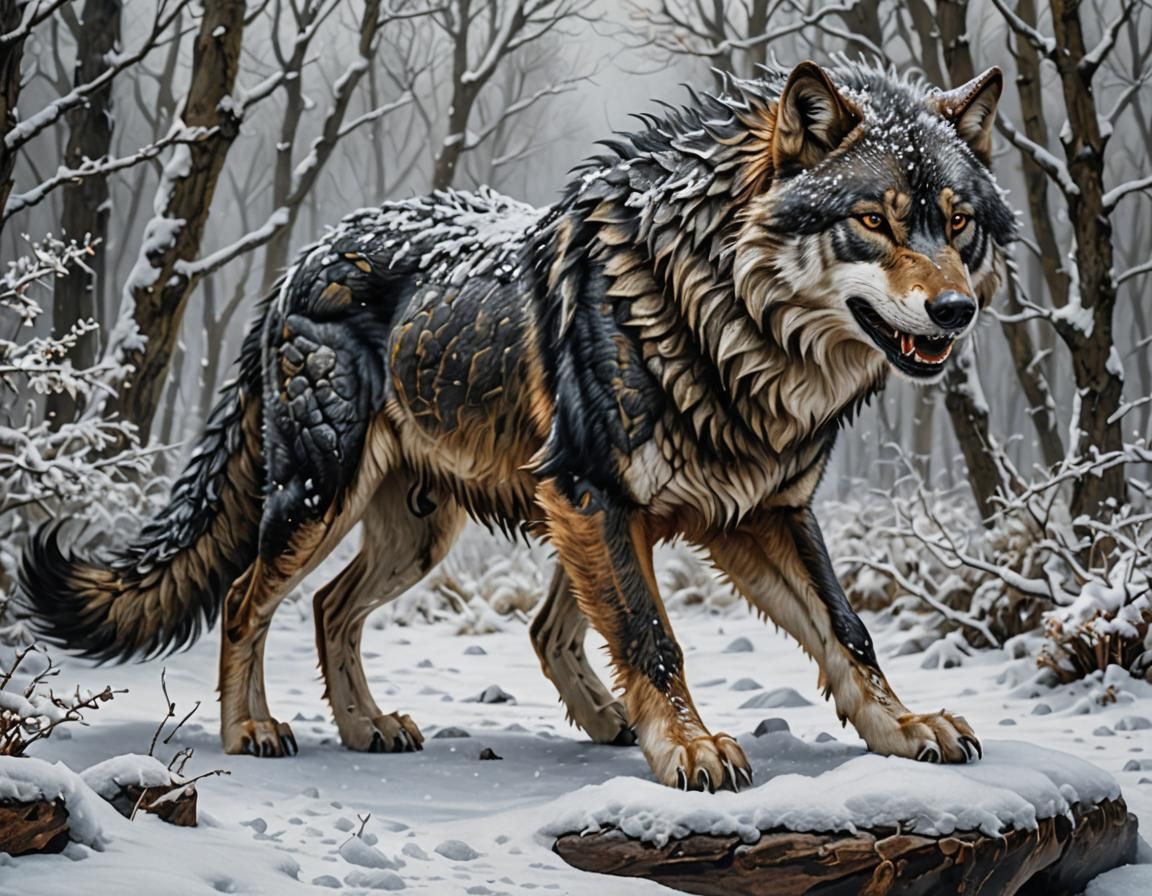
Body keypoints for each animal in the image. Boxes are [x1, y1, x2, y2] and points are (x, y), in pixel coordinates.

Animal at [22, 60, 1015, 791]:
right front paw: (689, 748)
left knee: (347, 608)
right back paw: (253, 728)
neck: (722, 321)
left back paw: (380, 726)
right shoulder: (595, 492)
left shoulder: (763, 512)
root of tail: (302, 258)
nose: (956, 312)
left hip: (430, 535)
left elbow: (849, 632)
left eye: (957, 223)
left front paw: (905, 727)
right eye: (873, 221)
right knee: (244, 599)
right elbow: (654, 638)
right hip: (323, 498)